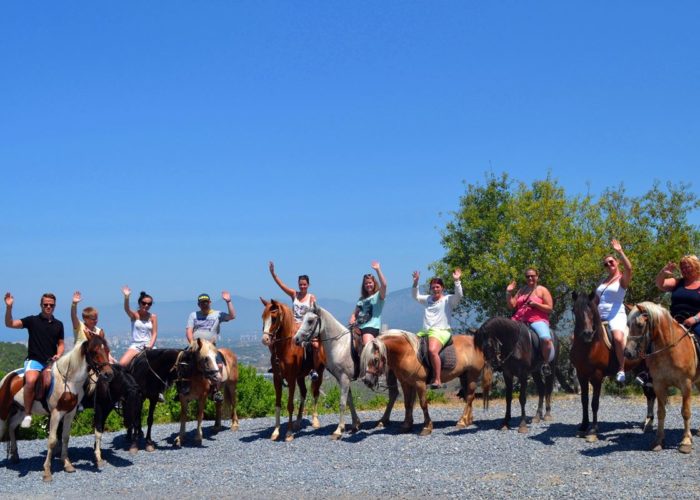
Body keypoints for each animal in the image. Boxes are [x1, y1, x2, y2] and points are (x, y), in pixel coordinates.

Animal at [260, 296, 322, 442]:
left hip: (319, 373)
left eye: (274, 318)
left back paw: (315, 420)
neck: (286, 348)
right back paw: (298, 421)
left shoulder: (291, 379)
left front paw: (288, 433)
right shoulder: (277, 379)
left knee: (315, 393)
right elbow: (277, 404)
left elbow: (289, 405)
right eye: (262, 317)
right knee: (304, 392)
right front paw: (276, 432)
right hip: (300, 376)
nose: (265, 339)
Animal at [292, 302, 364, 440]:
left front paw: (338, 430)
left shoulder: (344, 379)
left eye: (310, 321)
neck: (340, 345)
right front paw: (355, 424)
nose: (296, 339)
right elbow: (349, 401)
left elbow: (342, 403)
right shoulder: (342, 379)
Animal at [360, 332, 492, 434]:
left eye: (375, 360)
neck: (407, 353)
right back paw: (468, 420)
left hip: (472, 375)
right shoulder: (406, 383)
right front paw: (406, 426)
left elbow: (423, 404)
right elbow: (407, 404)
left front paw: (427, 427)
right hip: (464, 376)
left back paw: (462, 421)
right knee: (469, 397)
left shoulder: (420, 383)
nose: (367, 381)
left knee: (469, 397)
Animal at [568, 292, 656, 442]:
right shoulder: (581, 375)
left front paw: (593, 430)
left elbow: (594, 403)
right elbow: (584, 401)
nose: (587, 334)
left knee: (652, 393)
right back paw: (645, 422)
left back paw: (649, 423)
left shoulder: (597, 376)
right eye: (575, 310)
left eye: (591, 311)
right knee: (648, 393)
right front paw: (583, 426)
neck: (590, 346)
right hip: (639, 368)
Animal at [624, 300, 700, 454]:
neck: (670, 350)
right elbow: (661, 412)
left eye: (640, 325)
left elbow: (686, 412)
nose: (628, 353)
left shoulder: (686, 385)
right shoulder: (659, 385)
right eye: (628, 325)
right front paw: (658, 441)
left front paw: (686, 441)